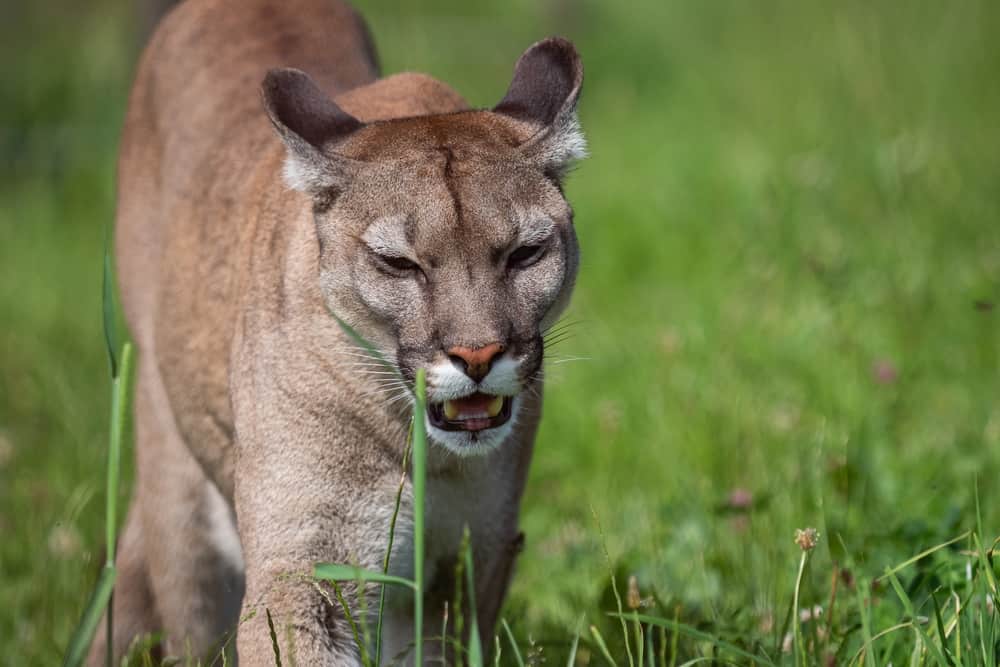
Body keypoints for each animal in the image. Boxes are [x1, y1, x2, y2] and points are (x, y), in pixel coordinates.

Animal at [92, 0, 584, 664]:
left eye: (525, 253)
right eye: (398, 263)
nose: (478, 354)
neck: (419, 448)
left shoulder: (465, 565)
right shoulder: (302, 568)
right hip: (176, 492)